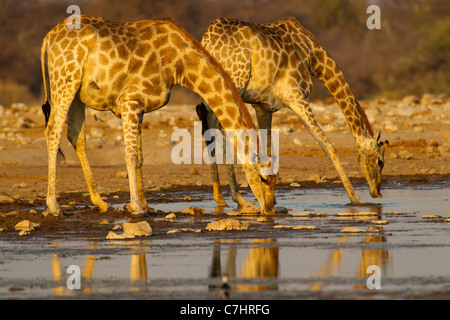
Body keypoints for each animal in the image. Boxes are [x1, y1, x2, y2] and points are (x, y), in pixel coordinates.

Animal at [40, 15, 276, 216]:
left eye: (276, 180)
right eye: (263, 179)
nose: (268, 209)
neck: (179, 65)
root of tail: (48, 38)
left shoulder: (141, 106)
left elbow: (140, 157)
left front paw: (144, 205)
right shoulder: (129, 101)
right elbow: (131, 155)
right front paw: (136, 207)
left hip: (77, 94)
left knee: (76, 135)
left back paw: (101, 202)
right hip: (65, 81)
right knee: (52, 131)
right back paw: (54, 206)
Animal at [198, 17, 390, 206]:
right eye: (380, 162)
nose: (377, 192)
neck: (313, 56)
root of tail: (208, 40)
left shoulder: (263, 106)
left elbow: (268, 149)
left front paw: (271, 199)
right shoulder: (296, 97)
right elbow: (327, 145)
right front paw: (355, 199)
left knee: (208, 122)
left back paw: (222, 198)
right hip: (233, 83)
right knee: (220, 125)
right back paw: (237, 198)